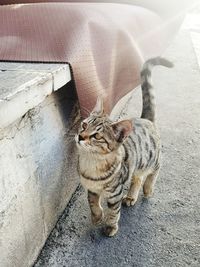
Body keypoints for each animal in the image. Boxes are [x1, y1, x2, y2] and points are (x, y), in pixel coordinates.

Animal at [76, 57, 173, 238]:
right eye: (84, 125)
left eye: (97, 136)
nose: (80, 136)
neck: (91, 162)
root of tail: (146, 119)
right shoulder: (91, 190)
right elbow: (93, 204)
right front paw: (97, 217)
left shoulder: (115, 193)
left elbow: (114, 212)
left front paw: (110, 226)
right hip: (137, 164)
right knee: (137, 178)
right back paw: (131, 196)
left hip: (152, 158)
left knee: (153, 172)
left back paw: (148, 188)